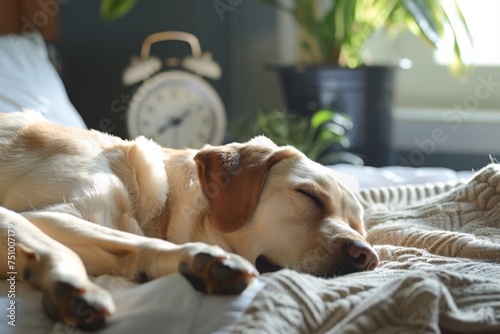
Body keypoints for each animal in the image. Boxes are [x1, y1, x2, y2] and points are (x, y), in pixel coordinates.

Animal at [0, 111, 376, 328]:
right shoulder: (40, 214)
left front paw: (196, 265)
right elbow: (106, 244)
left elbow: (128, 247)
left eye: (359, 227)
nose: (367, 256)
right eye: (309, 196)